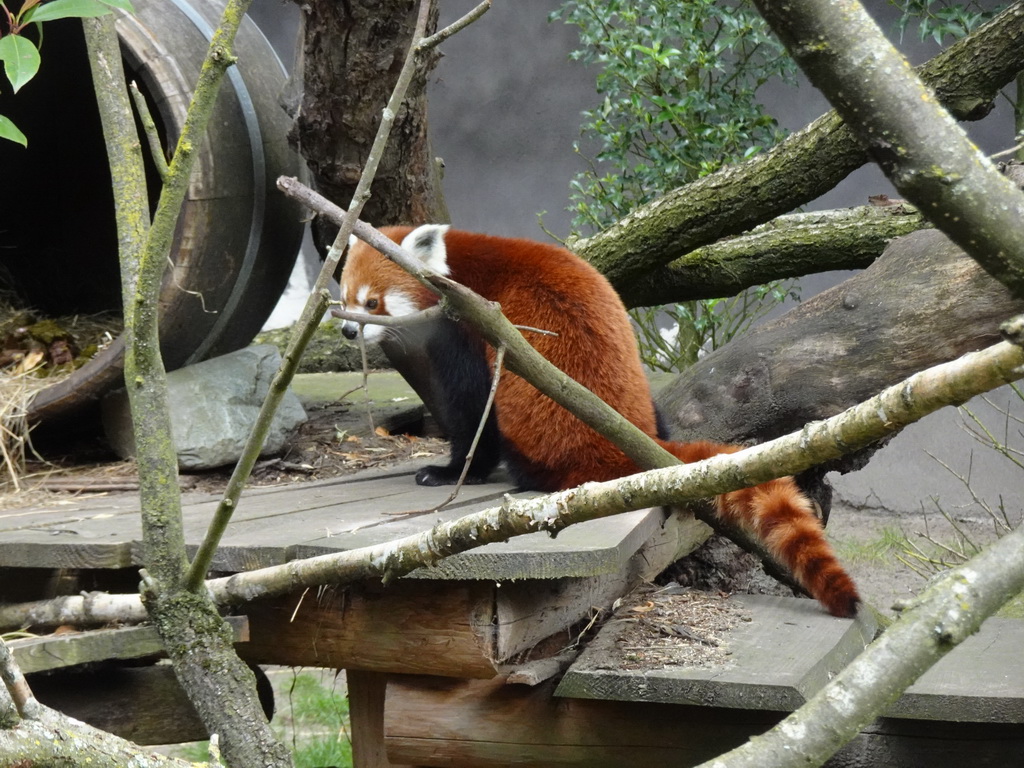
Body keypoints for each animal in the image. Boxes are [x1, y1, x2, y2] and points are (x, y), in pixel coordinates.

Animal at [339, 224, 860, 618]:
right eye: (343, 295)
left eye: (372, 303)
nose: (345, 328)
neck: (457, 264)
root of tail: (629, 443)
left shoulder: (469, 327)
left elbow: (473, 415)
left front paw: (451, 471)